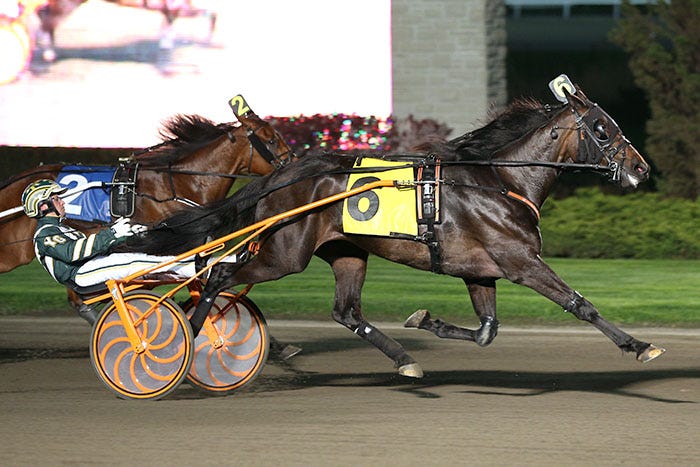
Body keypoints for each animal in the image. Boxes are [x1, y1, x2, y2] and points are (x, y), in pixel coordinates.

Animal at [130, 83, 664, 377]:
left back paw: (404, 357)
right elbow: (579, 303)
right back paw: (183, 342)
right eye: (602, 127)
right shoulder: (520, 262)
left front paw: (425, 320)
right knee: (218, 277)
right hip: (285, 253)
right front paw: (639, 346)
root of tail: (285, 174)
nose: (641, 169)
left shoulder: (480, 270)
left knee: (346, 310)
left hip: (346, 251)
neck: (501, 180)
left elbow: (486, 331)